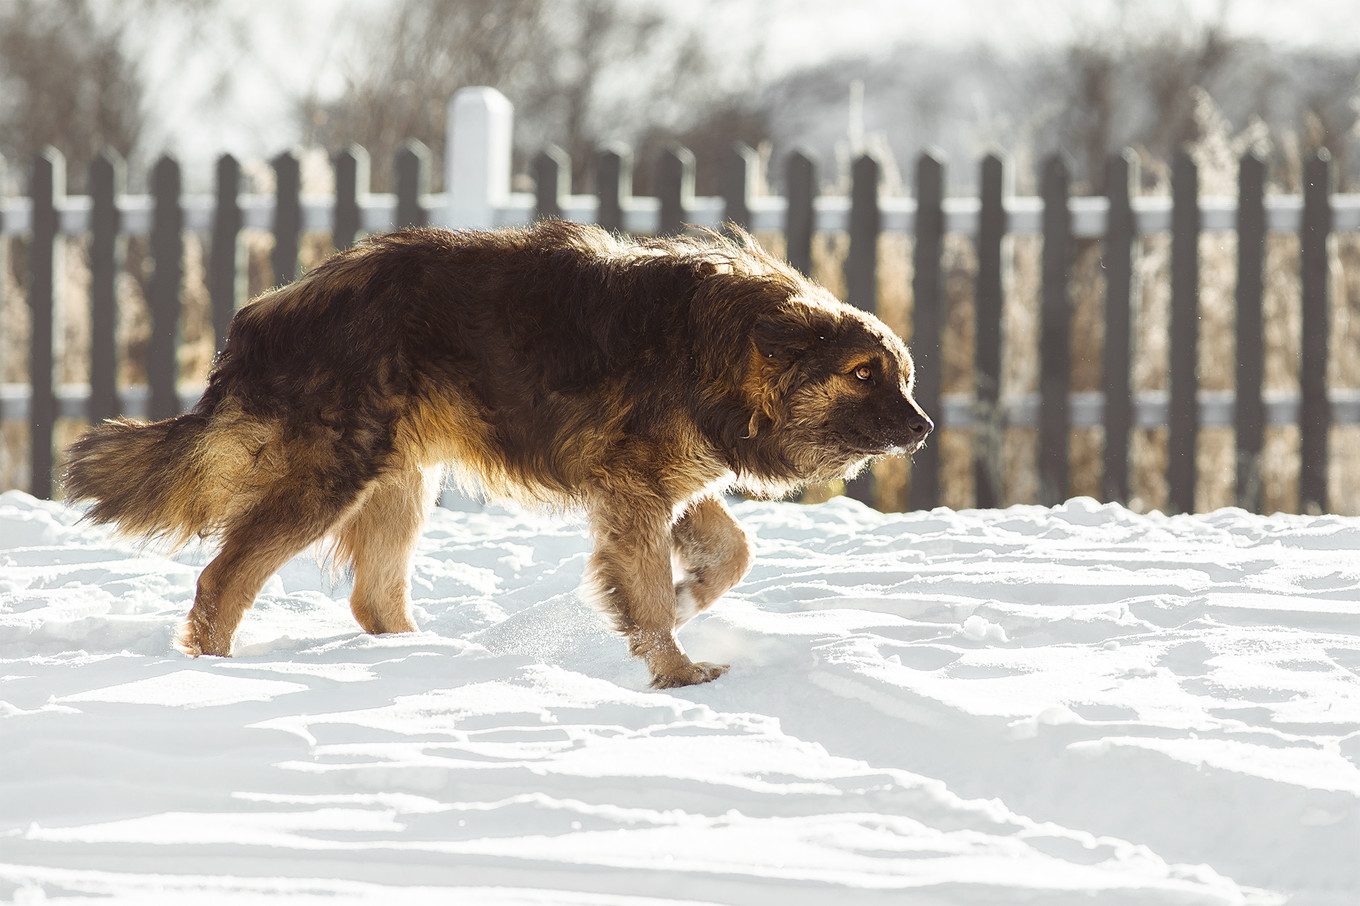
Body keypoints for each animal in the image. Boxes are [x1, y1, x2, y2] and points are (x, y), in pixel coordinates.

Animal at [63, 220, 935, 685]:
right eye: (864, 374)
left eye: (903, 376)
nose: (925, 428)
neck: (730, 344)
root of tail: (268, 309)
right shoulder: (634, 492)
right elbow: (651, 593)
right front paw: (675, 672)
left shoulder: (665, 489)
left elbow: (730, 554)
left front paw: (690, 603)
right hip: (332, 475)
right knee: (224, 577)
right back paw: (211, 673)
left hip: (398, 483)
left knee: (372, 597)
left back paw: (424, 659)